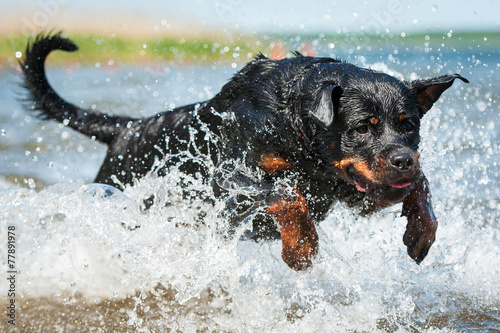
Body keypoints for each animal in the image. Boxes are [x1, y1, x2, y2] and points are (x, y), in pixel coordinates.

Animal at [21, 31, 468, 270]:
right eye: (362, 127)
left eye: (409, 126)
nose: (402, 158)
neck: (293, 124)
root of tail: (126, 128)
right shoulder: (231, 174)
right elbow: (286, 194)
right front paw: (300, 248)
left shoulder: (347, 184)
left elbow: (420, 185)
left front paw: (422, 229)